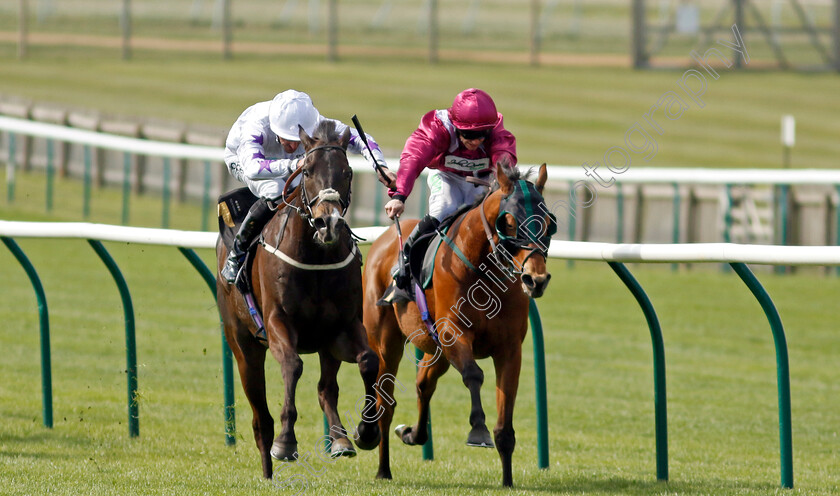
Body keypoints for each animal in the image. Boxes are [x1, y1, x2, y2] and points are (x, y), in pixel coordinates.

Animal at [220, 118, 384, 478]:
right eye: (307, 171)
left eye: (348, 172)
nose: (328, 222)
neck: (316, 257)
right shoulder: (277, 322)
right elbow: (292, 366)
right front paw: (286, 442)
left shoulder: (342, 327)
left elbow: (368, 361)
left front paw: (365, 432)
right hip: (243, 347)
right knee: (259, 416)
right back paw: (268, 466)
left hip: (325, 344)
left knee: (326, 389)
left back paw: (340, 440)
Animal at [360, 164, 552, 488]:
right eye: (509, 222)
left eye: (548, 222)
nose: (535, 279)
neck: (485, 273)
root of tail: (386, 237)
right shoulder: (455, 334)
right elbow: (474, 375)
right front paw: (478, 430)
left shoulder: (510, 349)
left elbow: (505, 422)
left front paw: (507, 481)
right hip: (386, 342)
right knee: (385, 401)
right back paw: (381, 464)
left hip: (434, 347)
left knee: (424, 382)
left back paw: (412, 433)